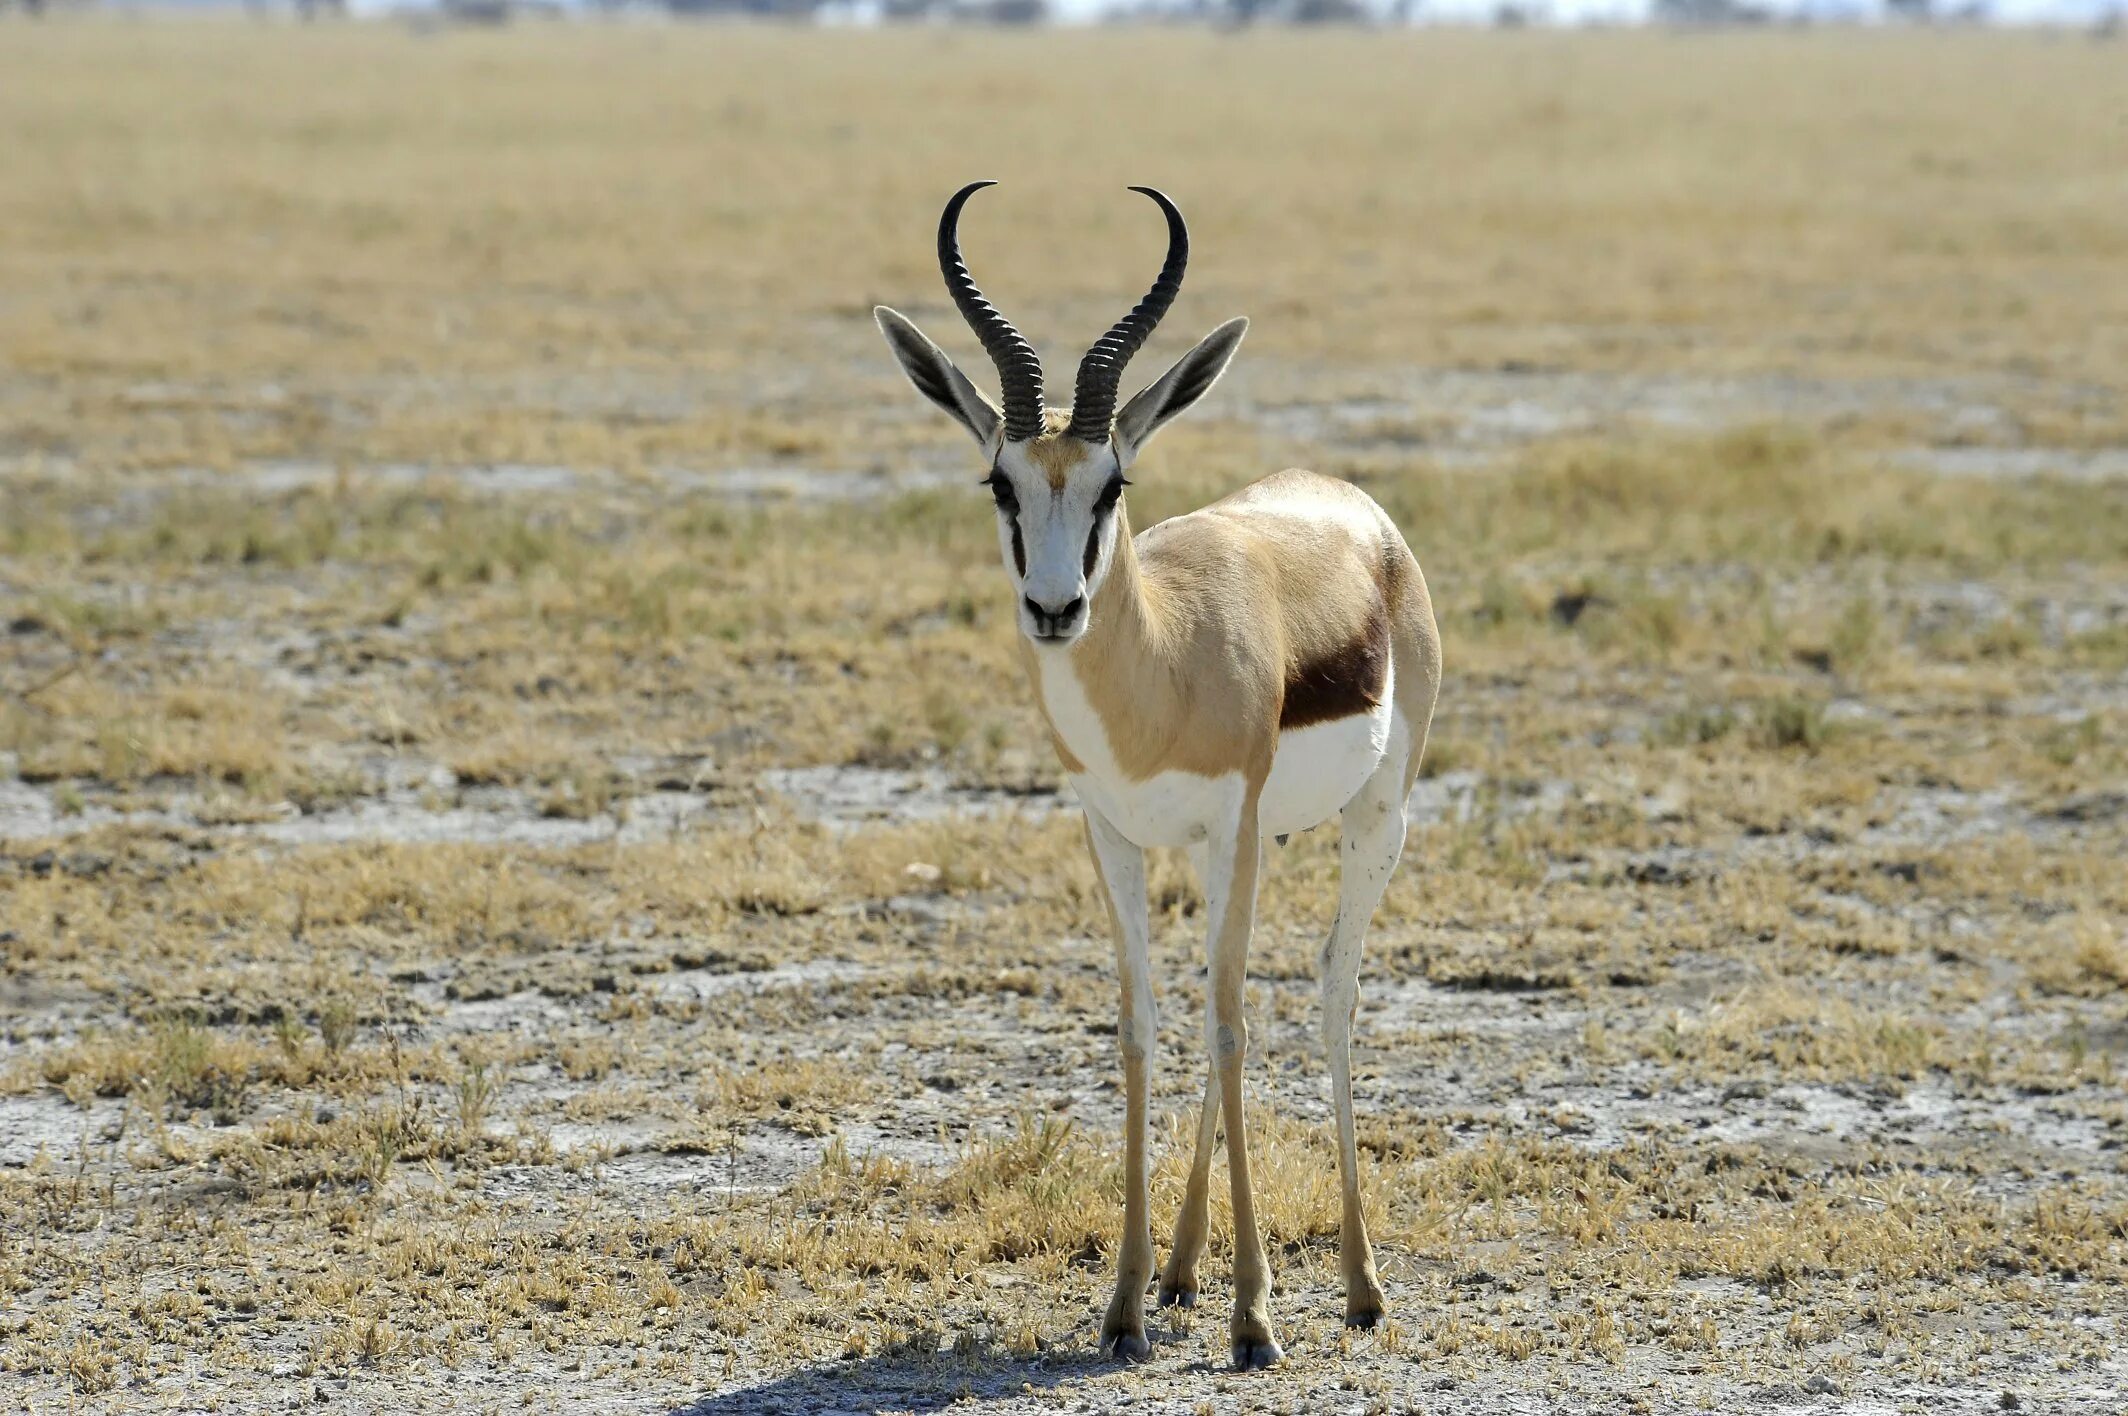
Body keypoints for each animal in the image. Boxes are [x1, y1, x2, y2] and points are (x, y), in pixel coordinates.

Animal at [868, 182, 1447, 1362]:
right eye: (999, 480)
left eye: (1111, 482)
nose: (1054, 608)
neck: (1167, 662)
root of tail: (1353, 507)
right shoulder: (1115, 834)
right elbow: (1143, 1025)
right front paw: (1128, 1302)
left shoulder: (1233, 826)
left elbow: (1227, 1024)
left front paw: (1256, 1319)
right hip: (1242, 845)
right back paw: (1183, 1274)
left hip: (1375, 820)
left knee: (1328, 989)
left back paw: (1361, 1288)